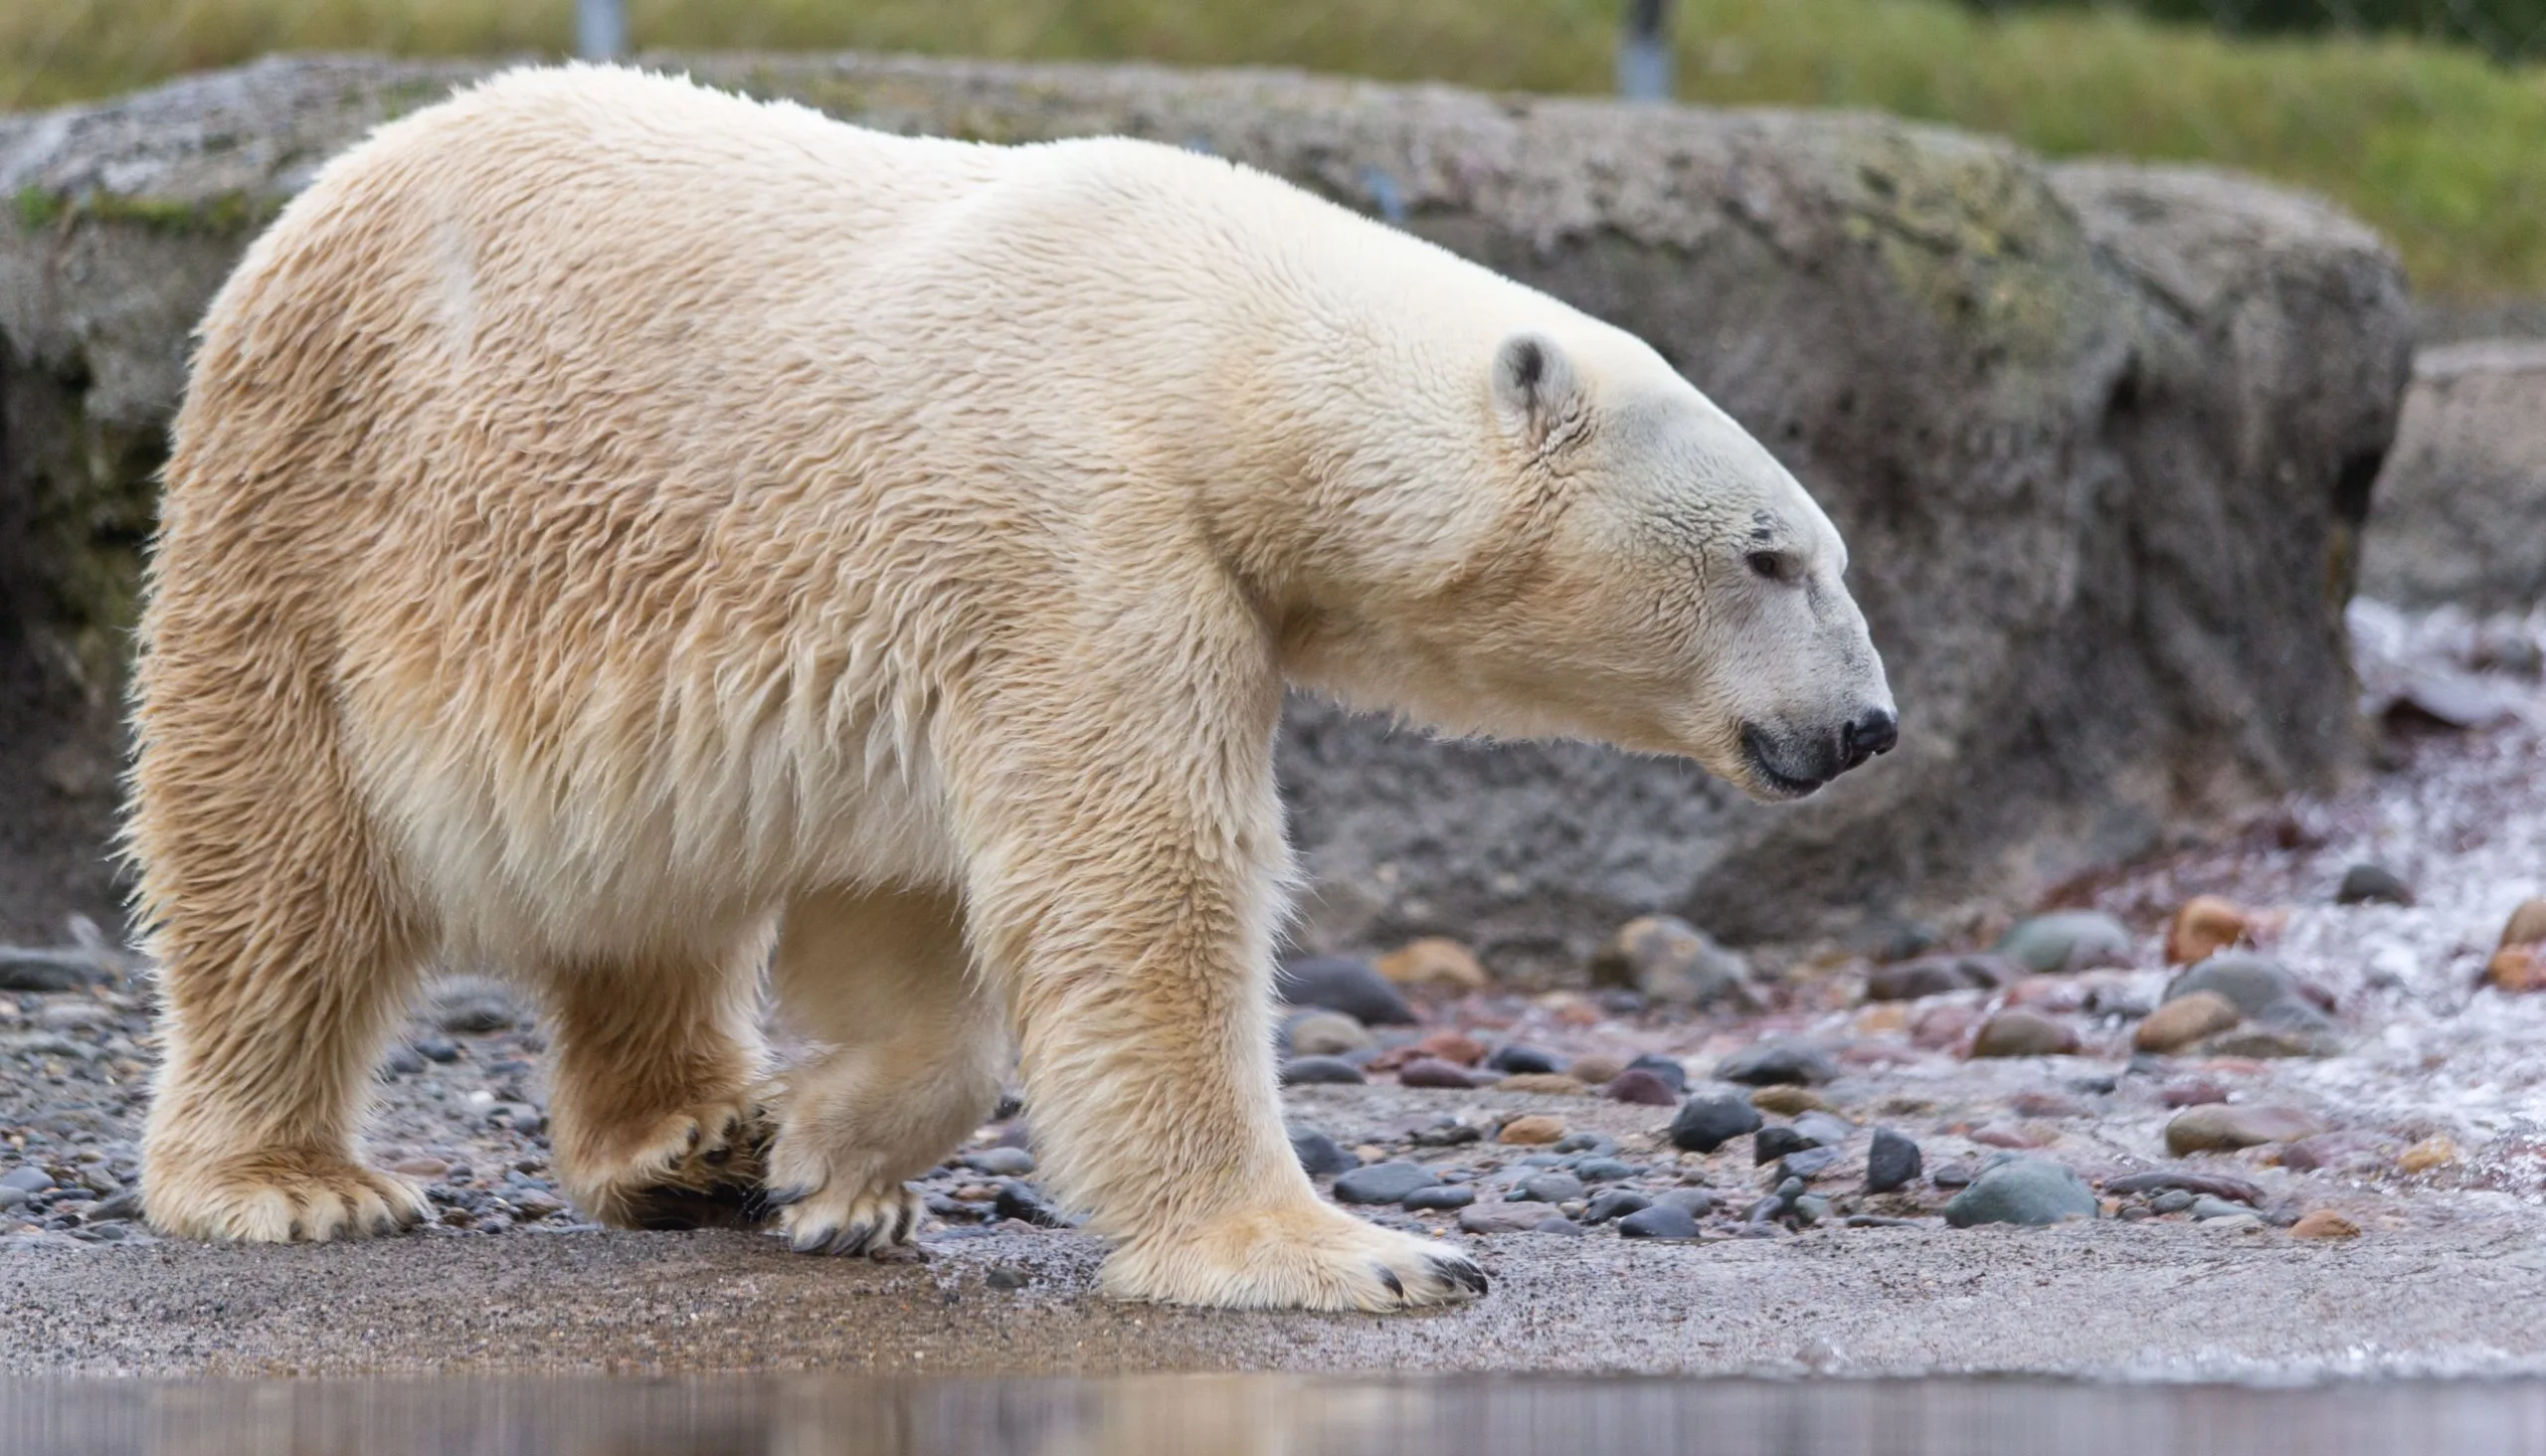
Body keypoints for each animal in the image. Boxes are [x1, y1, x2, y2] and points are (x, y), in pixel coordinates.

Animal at [129, 65, 1895, 1310]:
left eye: (1823, 550)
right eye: (1769, 557)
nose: (1868, 724)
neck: (1205, 341)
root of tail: (330, 188)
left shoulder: (965, 609)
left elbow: (906, 904)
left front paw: (827, 1164)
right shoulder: (1074, 526)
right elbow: (1144, 876)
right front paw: (1348, 1251)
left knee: (647, 898)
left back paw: (692, 1144)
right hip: (317, 510)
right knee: (277, 862)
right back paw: (292, 1179)